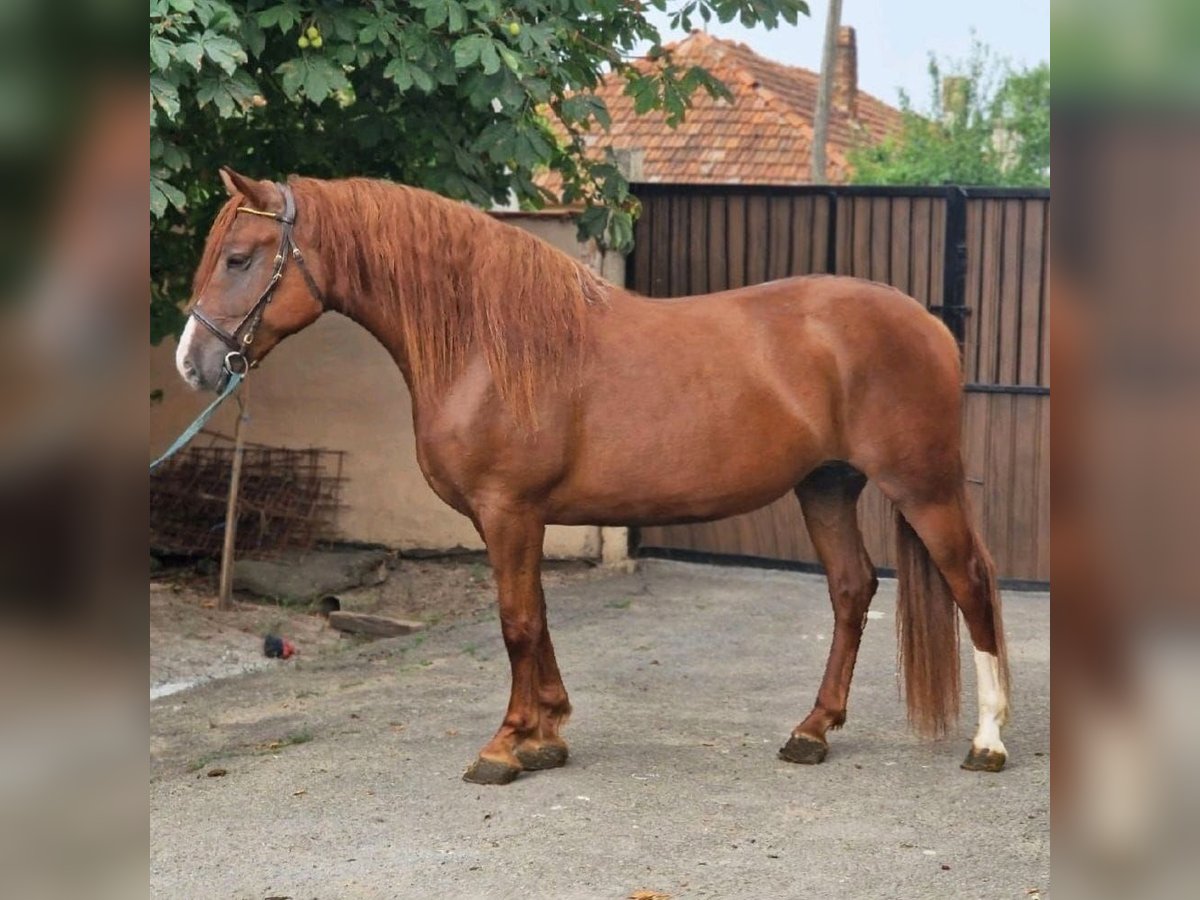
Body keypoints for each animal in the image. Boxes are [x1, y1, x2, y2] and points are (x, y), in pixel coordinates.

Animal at [174, 172, 1008, 787]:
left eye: (240, 257)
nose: (193, 363)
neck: (487, 343)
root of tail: (932, 325)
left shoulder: (508, 510)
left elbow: (515, 621)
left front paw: (506, 745)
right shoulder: (517, 517)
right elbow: (536, 617)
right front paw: (546, 733)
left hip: (922, 488)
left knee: (971, 584)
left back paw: (989, 741)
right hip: (826, 486)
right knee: (851, 591)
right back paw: (812, 731)